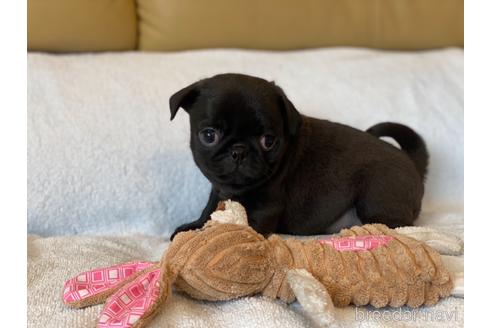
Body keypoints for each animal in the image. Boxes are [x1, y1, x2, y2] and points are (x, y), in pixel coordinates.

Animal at [168, 74, 426, 238]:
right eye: (209, 135)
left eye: (268, 141)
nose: (239, 151)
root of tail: (411, 162)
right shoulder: (218, 190)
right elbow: (209, 209)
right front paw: (195, 226)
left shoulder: (266, 206)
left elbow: (247, 225)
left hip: (376, 199)